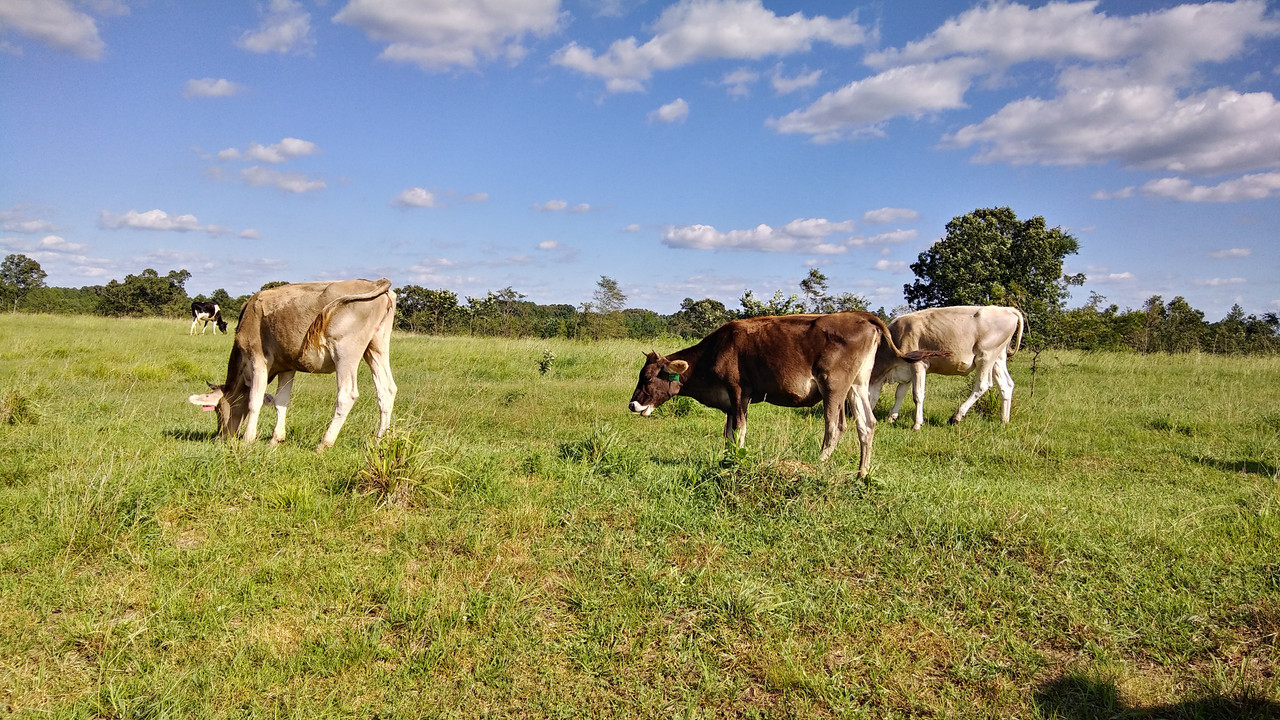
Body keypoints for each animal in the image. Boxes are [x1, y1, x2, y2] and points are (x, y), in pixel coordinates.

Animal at [187, 278, 397, 451]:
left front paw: (248, 438)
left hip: (345, 351)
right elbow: (281, 401)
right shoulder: (287, 367)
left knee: (347, 395)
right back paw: (379, 441)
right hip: (376, 348)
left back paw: (325, 443)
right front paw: (276, 439)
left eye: (218, 409)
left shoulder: (258, 359)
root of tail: (374, 282)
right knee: (386, 390)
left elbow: (254, 400)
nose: (221, 437)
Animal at [628, 312, 946, 478]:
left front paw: (739, 461)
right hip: (858, 384)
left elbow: (740, 431)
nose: (632, 404)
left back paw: (818, 465)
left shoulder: (739, 392)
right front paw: (727, 459)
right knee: (866, 424)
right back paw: (862, 473)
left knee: (835, 426)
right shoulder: (730, 400)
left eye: (648, 377)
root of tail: (859, 315)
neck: (714, 351)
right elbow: (728, 434)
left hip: (834, 385)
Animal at [869, 305, 1025, 430]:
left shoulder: (918, 365)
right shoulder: (905, 371)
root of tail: (1006, 309)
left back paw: (956, 416)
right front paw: (891, 417)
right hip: (998, 359)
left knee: (983, 385)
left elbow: (917, 395)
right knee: (1006, 385)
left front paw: (917, 424)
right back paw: (1004, 421)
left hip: (985, 357)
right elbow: (900, 393)